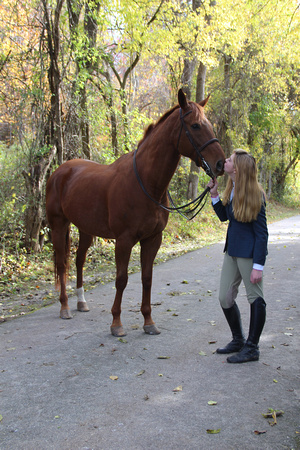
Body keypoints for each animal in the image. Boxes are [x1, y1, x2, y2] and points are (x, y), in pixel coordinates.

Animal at [45, 89, 224, 336]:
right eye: (196, 125)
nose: (221, 164)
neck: (146, 184)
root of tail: (59, 171)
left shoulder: (152, 239)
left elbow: (147, 278)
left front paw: (148, 321)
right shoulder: (124, 240)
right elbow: (121, 279)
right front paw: (116, 323)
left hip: (85, 229)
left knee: (79, 260)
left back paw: (81, 302)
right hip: (58, 224)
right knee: (62, 263)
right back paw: (65, 307)